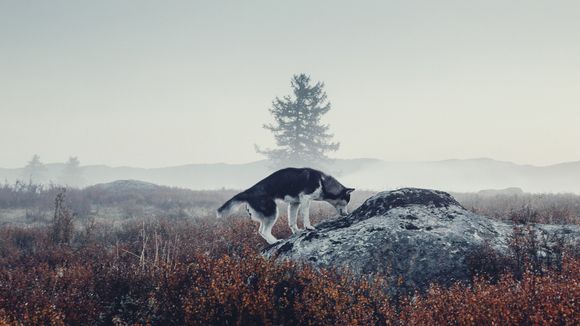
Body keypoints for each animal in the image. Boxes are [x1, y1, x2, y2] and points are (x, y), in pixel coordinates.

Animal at [216, 168, 354, 244]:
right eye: (347, 201)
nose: (347, 214)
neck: (323, 182)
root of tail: (247, 191)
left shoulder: (294, 203)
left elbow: (292, 221)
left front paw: (297, 231)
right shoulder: (305, 199)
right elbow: (305, 216)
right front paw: (309, 227)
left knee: (261, 231)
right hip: (272, 212)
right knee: (263, 231)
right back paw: (275, 241)